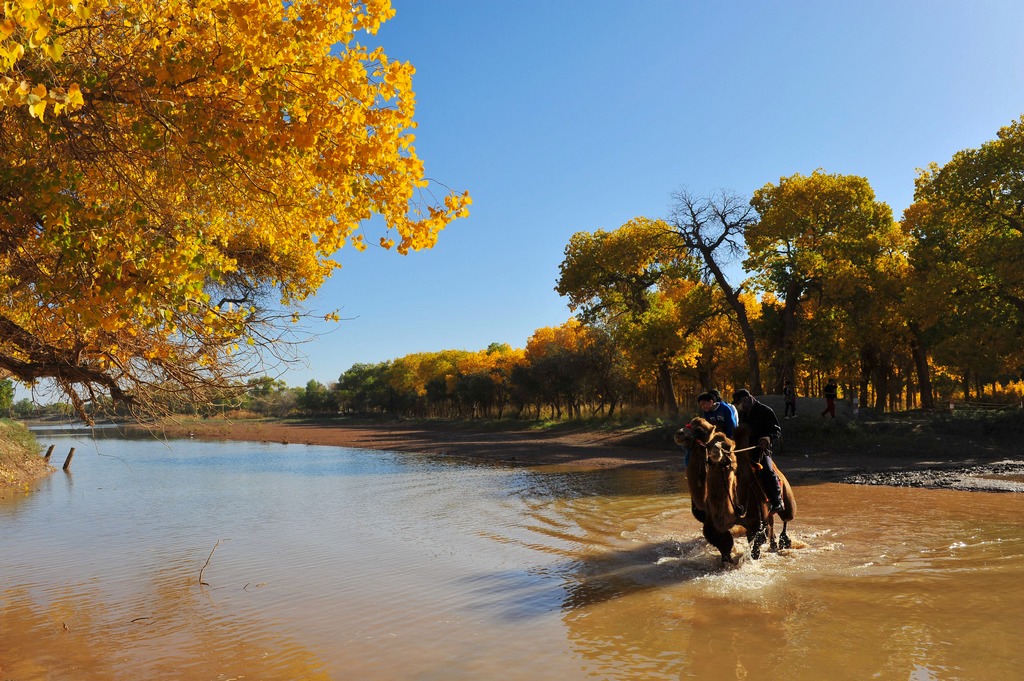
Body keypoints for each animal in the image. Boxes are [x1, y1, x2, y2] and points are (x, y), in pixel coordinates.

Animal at [675, 413, 794, 561]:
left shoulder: (756, 523)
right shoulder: (712, 523)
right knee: (771, 523)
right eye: (709, 444)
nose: (679, 433)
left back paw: (784, 541)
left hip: (786, 497)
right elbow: (723, 544)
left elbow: (756, 546)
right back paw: (774, 545)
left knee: (785, 518)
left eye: (699, 430)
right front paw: (726, 560)